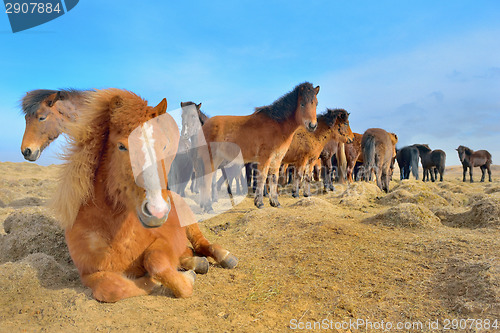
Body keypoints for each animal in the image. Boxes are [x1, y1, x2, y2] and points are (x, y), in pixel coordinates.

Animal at [197, 81, 318, 209]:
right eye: (302, 104)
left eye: (316, 103)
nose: (312, 125)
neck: (277, 126)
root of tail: (204, 126)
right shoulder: (264, 158)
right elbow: (262, 177)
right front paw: (259, 202)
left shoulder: (276, 160)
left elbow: (274, 178)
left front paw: (275, 202)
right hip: (210, 158)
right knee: (206, 180)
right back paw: (208, 207)